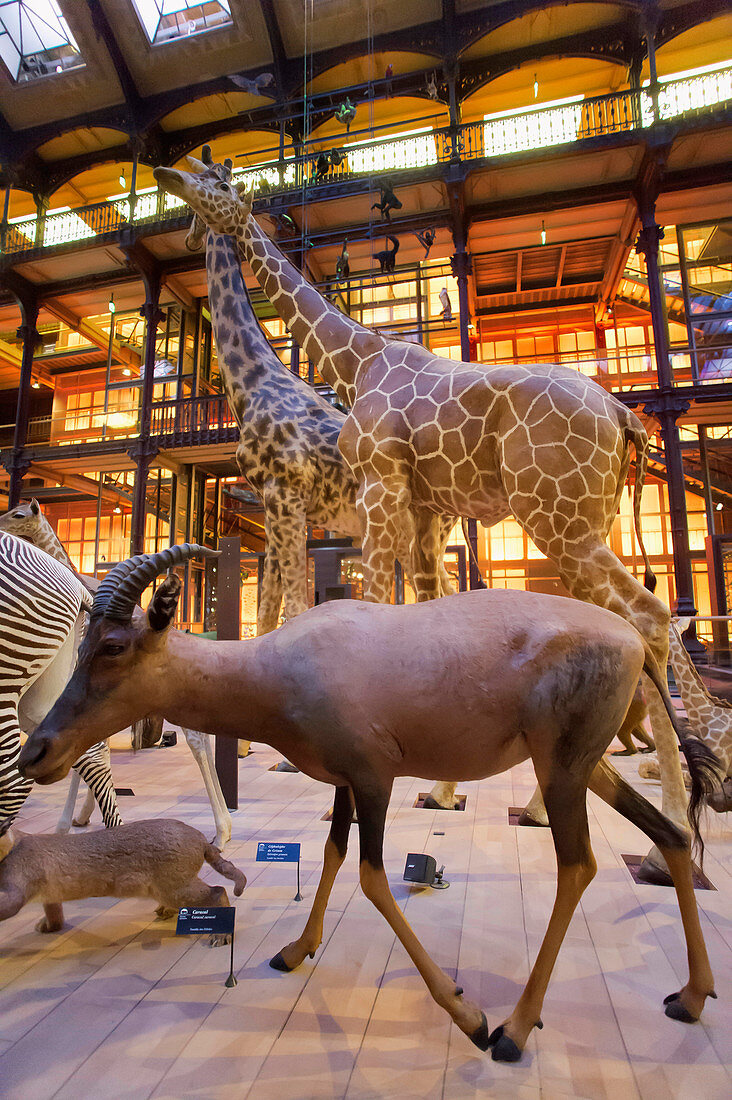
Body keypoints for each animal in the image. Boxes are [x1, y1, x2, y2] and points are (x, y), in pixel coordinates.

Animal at [0, 818, 245, 937]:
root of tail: (201, 839)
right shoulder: (50, 894)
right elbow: (55, 914)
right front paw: (47, 927)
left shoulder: (16, 888)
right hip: (171, 888)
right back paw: (164, 911)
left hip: (175, 888)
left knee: (218, 892)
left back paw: (221, 936)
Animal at [150, 162, 686, 875]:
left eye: (216, 186)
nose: (166, 178)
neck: (357, 358)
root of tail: (626, 415)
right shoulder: (415, 513)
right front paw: (436, 788)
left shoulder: (348, 493)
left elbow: (345, 608)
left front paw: (342, 797)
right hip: (572, 523)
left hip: (559, 521)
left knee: (651, 618)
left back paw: (659, 835)